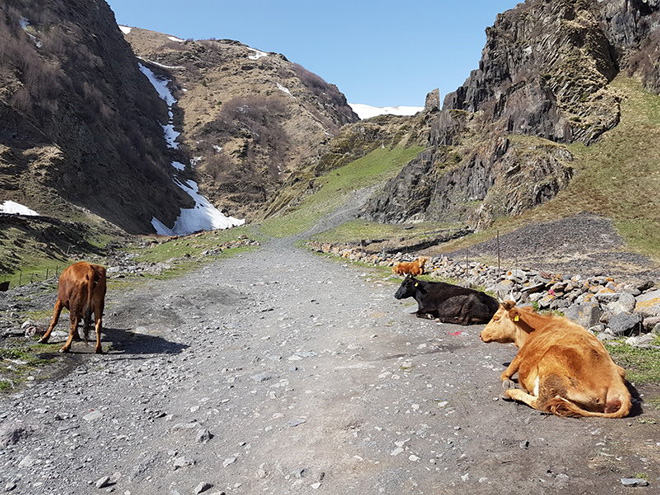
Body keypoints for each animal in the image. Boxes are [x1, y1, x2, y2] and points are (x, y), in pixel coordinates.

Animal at [482, 302, 632, 418]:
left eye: (496, 318)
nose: (481, 334)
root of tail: (617, 386)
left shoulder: (521, 355)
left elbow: (506, 373)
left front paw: (507, 383)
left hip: (549, 365)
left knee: (541, 403)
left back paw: (511, 393)